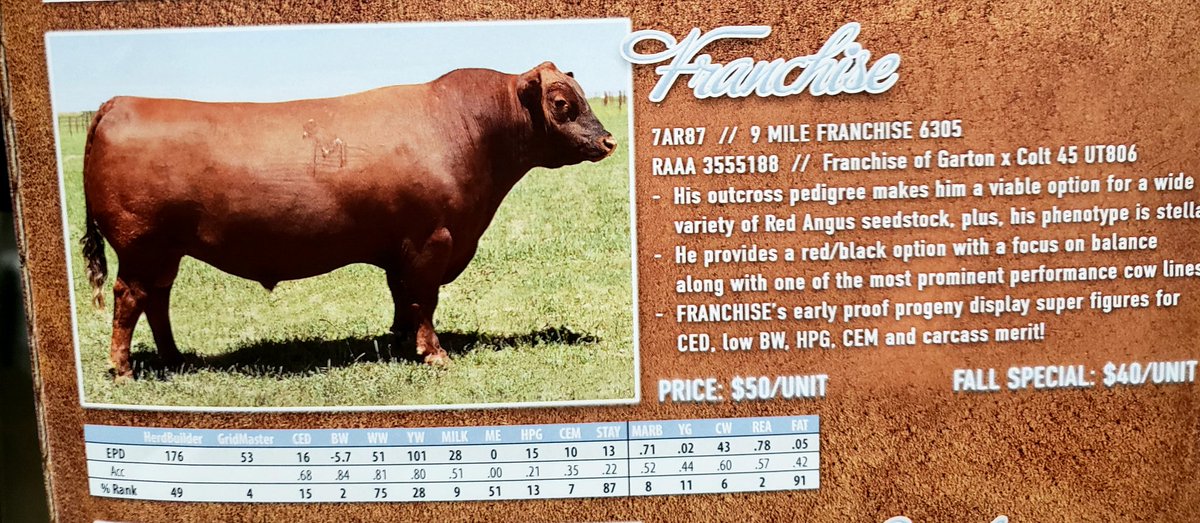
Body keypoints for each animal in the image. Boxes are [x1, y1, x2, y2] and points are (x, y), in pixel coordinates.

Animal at [78, 61, 617, 380]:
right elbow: (425, 299)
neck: (465, 129)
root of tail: (118, 103)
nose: (609, 140)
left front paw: (400, 342)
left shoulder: (402, 248)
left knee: (158, 300)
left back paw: (175, 358)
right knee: (131, 299)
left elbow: (404, 298)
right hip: (141, 245)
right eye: (563, 104)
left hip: (165, 251)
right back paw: (123, 369)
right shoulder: (432, 241)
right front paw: (433, 353)